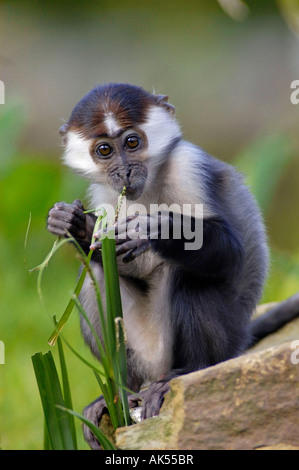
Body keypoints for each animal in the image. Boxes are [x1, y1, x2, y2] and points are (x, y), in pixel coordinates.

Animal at [47, 82, 298, 450]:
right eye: (105, 150)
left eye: (132, 143)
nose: (124, 171)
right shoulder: (105, 194)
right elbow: (112, 258)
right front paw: (74, 225)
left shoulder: (188, 166)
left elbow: (230, 252)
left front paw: (154, 230)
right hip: (142, 352)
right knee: (95, 276)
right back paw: (120, 393)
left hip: (215, 345)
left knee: (191, 275)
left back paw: (185, 374)